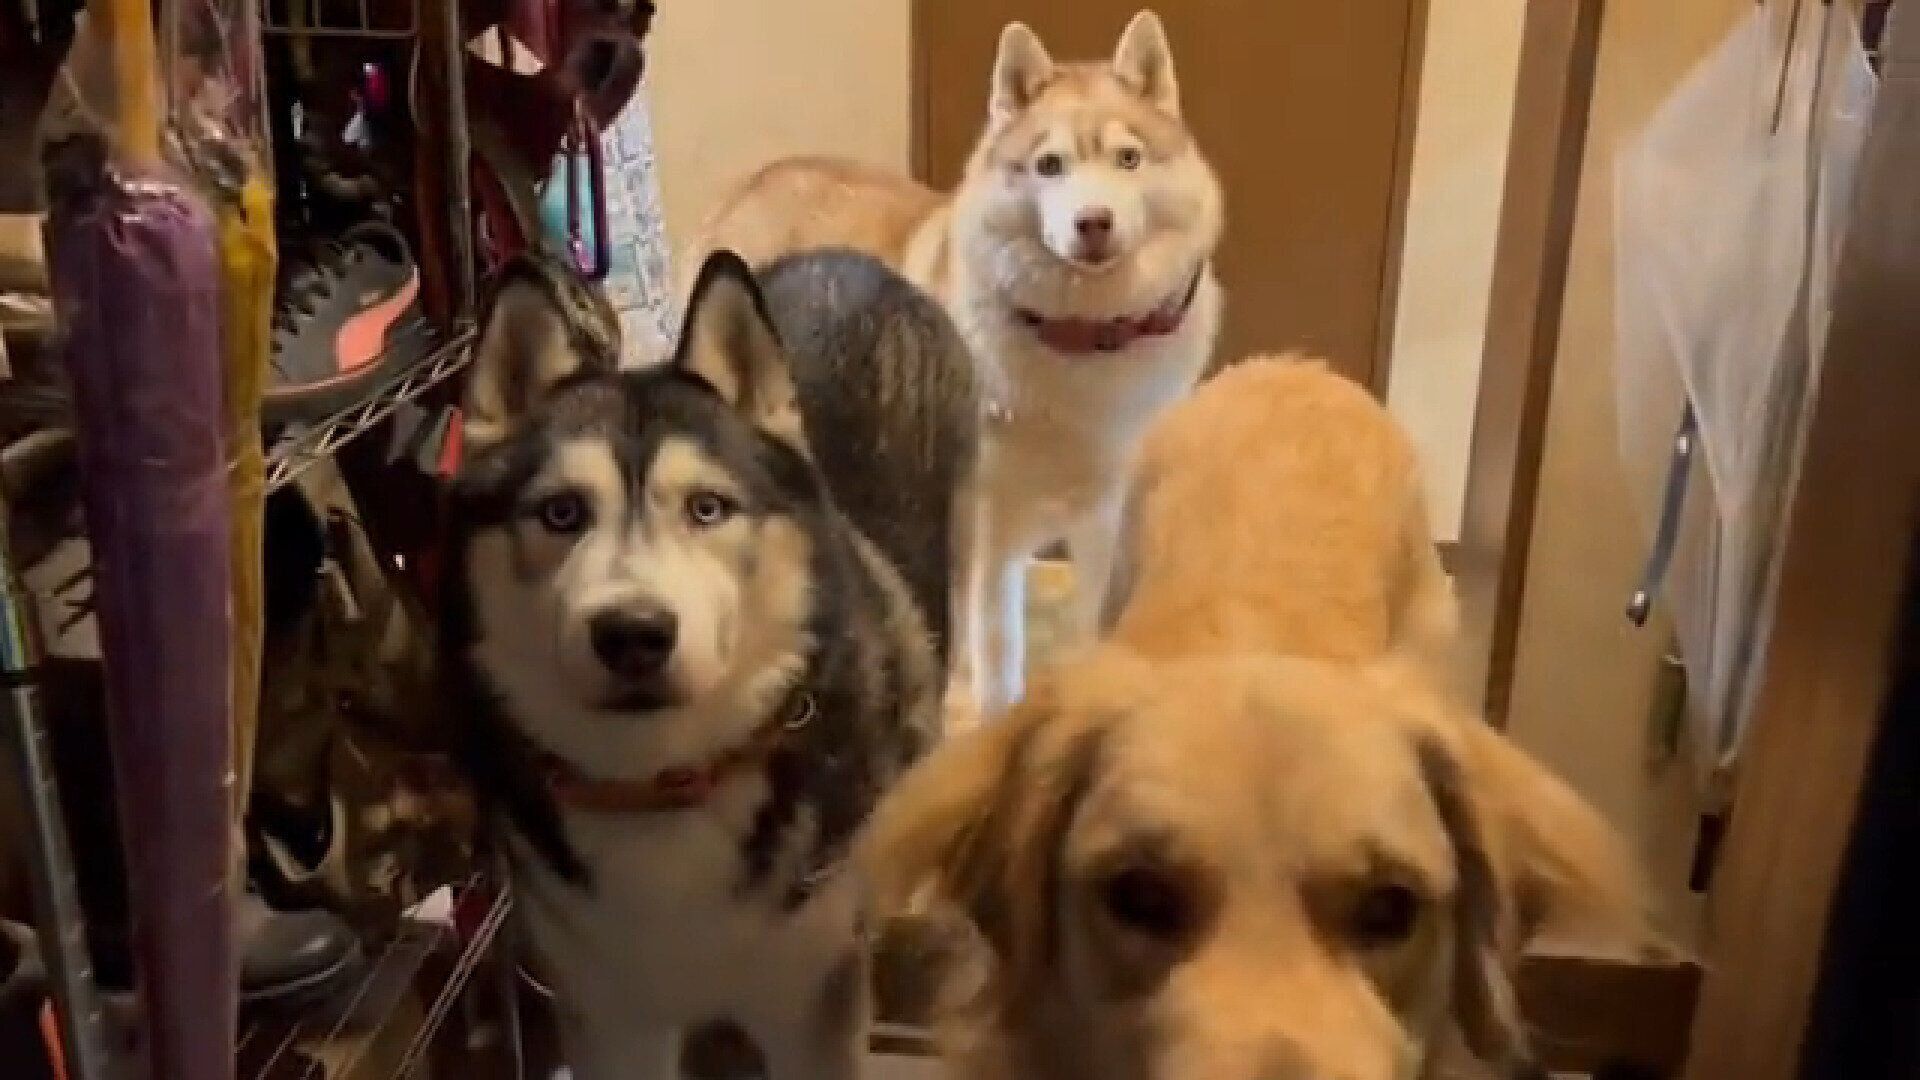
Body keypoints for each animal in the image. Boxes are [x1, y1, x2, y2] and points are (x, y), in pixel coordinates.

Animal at [443, 247, 978, 1079]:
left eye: (707, 508)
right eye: (561, 513)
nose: (633, 632)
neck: (664, 786)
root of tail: (845, 260)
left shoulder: (810, 1007)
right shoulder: (612, 1017)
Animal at [692, 9, 1225, 724]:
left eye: (1128, 158)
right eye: (1049, 166)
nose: (1094, 222)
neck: (1083, 343)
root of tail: (754, 178)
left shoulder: (1101, 525)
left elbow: (1089, 630)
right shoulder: (988, 532)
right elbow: (998, 656)